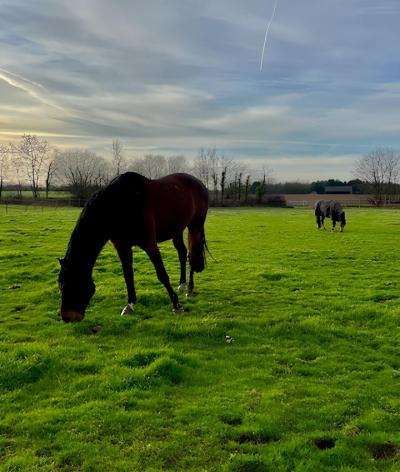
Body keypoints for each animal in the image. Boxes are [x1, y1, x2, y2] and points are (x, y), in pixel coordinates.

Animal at [60, 171, 209, 322]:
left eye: (71, 284)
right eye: (60, 285)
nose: (67, 318)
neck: (120, 205)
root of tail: (199, 183)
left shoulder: (149, 244)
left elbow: (162, 274)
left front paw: (177, 305)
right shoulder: (122, 247)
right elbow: (128, 275)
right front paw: (130, 305)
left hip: (195, 225)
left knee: (192, 254)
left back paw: (190, 289)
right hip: (177, 229)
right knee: (182, 253)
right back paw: (182, 284)